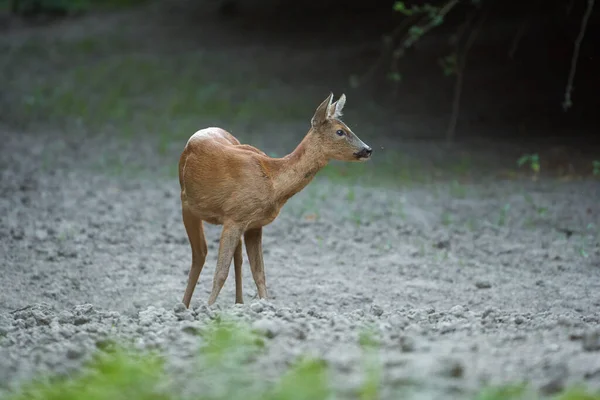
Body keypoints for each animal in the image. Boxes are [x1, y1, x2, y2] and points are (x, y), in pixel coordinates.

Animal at [178, 92, 372, 308]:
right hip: (187, 205)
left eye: (349, 128)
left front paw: (265, 306)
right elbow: (221, 272)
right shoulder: (235, 217)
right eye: (340, 131)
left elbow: (259, 273)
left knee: (236, 259)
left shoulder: (252, 223)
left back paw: (238, 303)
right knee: (200, 254)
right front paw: (208, 308)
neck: (273, 182)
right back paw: (184, 306)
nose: (368, 149)